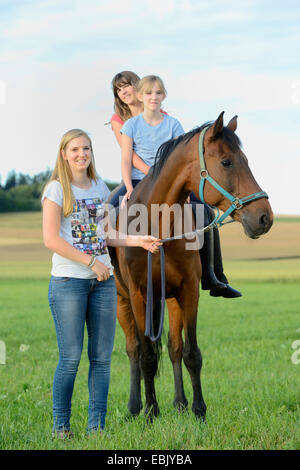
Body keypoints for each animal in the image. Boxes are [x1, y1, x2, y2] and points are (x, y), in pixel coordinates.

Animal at [107, 112, 272, 420]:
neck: (156, 227)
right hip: (123, 301)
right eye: (227, 162)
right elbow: (147, 356)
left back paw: (180, 404)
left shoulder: (188, 292)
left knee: (174, 347)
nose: (264, 217)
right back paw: (135, 407)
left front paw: (198, 410)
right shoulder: (138, 296)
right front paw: (151, 412)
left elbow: (191, 353)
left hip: (171, 300)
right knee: (134, 349)